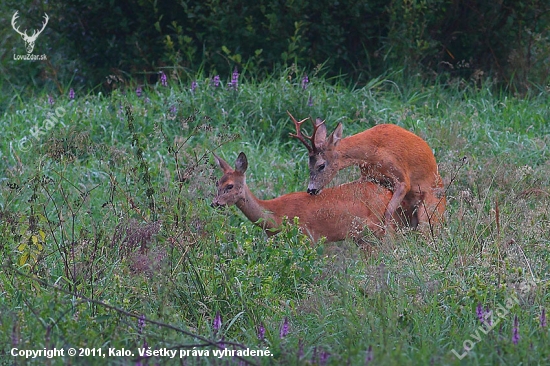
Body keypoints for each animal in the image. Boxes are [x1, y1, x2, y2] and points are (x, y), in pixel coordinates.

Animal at [213, 152, 412, 246]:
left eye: (230, 186)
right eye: (217, 182)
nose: (215, 203)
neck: (275, 217)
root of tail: (387, 192)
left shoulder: (307, 236)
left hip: (384, 226)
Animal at [288, 112, 448, 232]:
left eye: (321, 165)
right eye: (308, 164)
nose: (311, 189)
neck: (372, 152)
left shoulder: (402, 178)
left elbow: (388, 212)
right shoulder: (366, 176)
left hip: (431, 210)